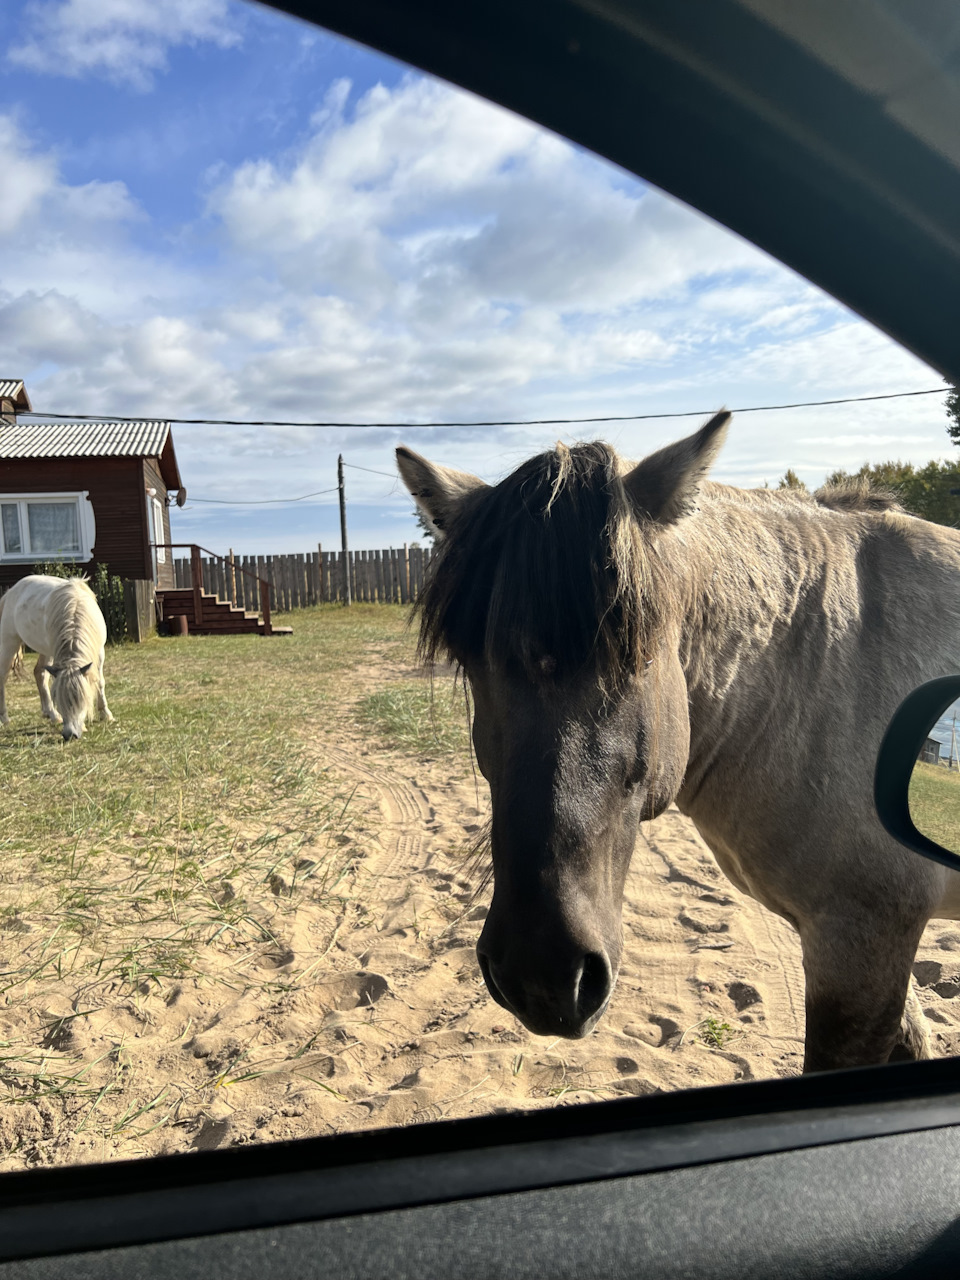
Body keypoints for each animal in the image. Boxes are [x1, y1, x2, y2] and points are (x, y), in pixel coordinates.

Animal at [0, 573, 113, 742]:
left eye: (80, 699)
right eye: (59, 700)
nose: (69, 734)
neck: (75, 610)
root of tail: (10, 592)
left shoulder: (99, 652)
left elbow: (99, 682)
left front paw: (105, 714)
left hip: (45, 650)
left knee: (39, 673)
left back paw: (51, 714)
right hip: (10, 643)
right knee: (3, 677)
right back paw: (5, 718)